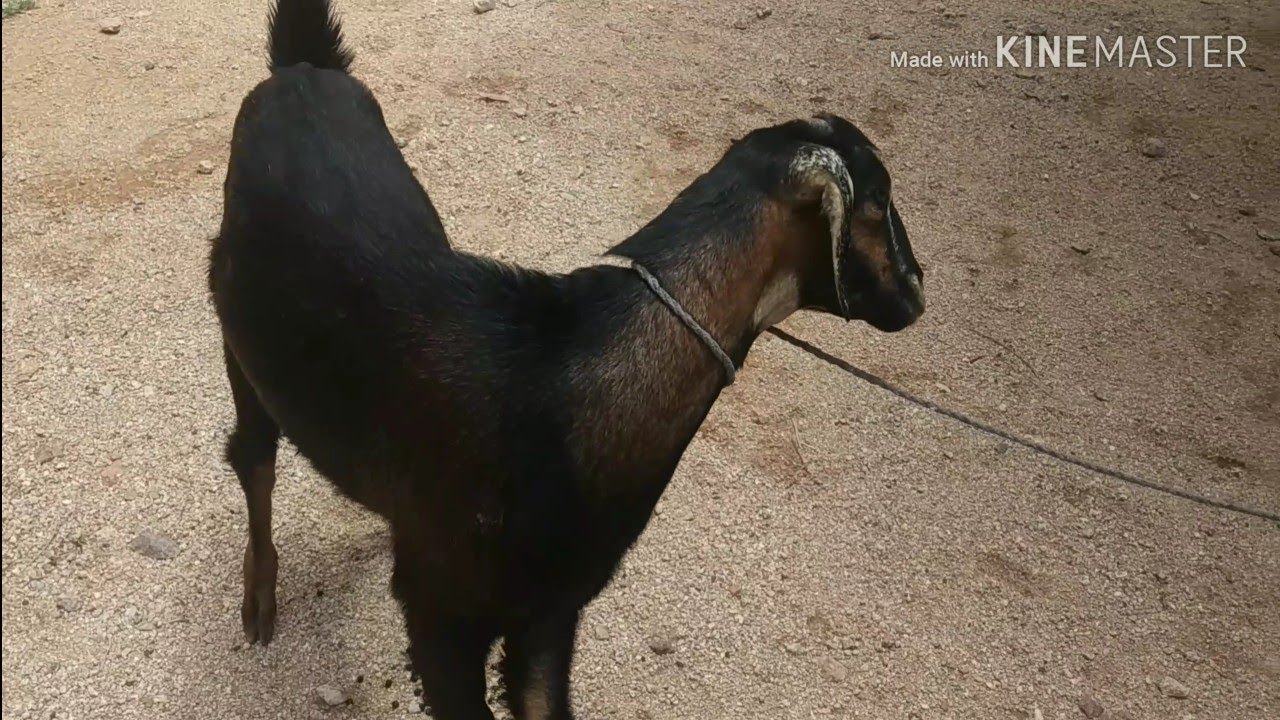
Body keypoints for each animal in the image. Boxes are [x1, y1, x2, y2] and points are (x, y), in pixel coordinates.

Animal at [208, 1, 925, 718]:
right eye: (879, 199)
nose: (917, 290)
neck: (567, 375)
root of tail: (301, 69)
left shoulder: (550, 613)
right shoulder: (441, 612)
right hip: (240, 345)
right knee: (252, 457)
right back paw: (259, 597)